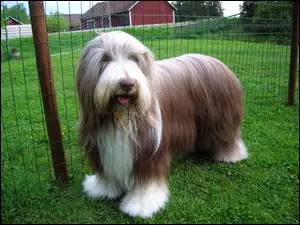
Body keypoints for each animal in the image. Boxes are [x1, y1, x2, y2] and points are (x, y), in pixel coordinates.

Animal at [75, 30, 248, 219]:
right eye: (105, 58)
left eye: (134, 58)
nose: (127, 84)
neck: (120, 117)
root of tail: (218, 62)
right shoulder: (100, 145)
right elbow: (106, 173)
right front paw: (103, 189)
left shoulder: (149, 149)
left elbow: (148, 179)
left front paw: (142, 204)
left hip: (221, 120)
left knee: (226, 137)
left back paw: (230, 155)